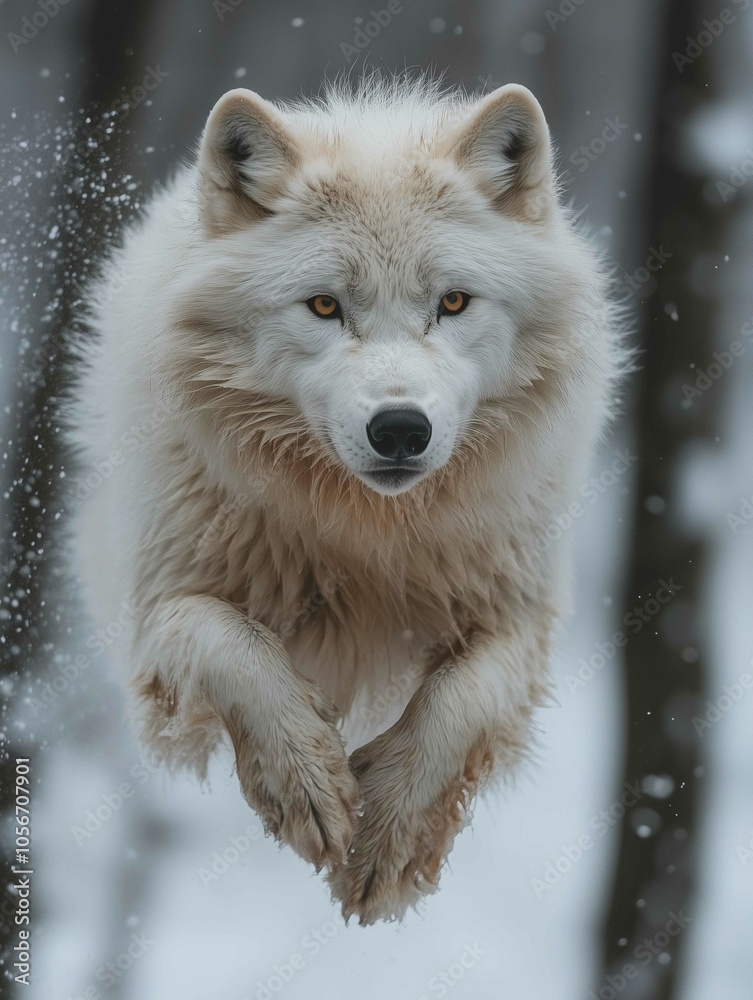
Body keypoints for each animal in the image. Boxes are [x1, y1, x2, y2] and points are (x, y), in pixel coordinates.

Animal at [68, 77, 626, 924]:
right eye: (325, 307)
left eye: (452, 303)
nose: (399, 428)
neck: (365, 535)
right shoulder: (156, 623)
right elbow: (233, 644)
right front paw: (308, 787)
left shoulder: (520, 621)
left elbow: (458, 702)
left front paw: (387, 844)